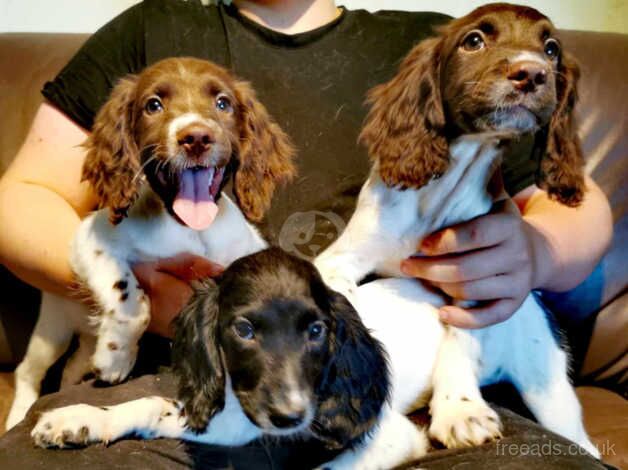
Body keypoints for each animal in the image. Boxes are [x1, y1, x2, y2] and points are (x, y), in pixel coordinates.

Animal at [6, 56, 296, 430]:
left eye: (223, 103)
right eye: (153, 105)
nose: (196, 138)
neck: (190, 228)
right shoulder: (91, 239)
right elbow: (130, 297)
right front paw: (116, 356)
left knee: (72, 365)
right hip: (53, 328)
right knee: (28, 371)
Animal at [30, 248, 426, 468]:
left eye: (317, 331)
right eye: (244, 330)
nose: (290, 417)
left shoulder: (397, 436)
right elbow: (154, 406)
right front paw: (83, 419)